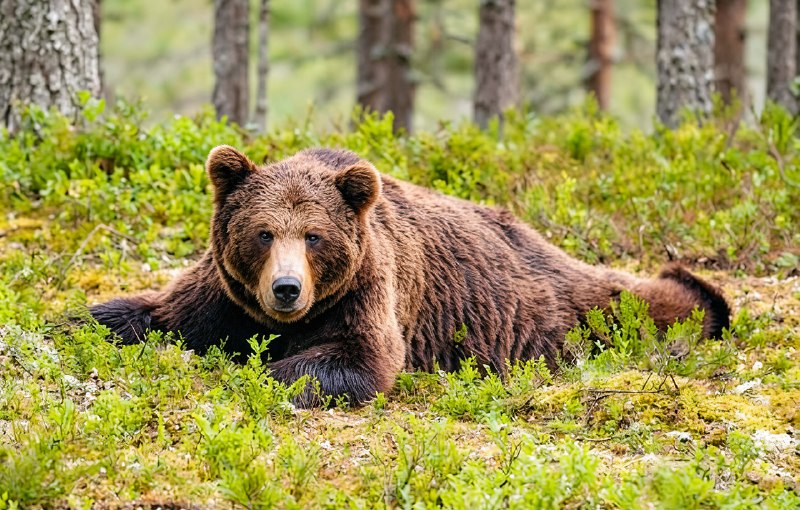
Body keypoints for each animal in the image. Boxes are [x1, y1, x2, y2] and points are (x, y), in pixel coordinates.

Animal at [91, 146, 731, 406]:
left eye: (314, 236)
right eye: (264, 232)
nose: (286, 289)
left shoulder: (368, 290)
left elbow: (357, 358)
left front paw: (255, 371)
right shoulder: (222, 294)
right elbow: (151, 312)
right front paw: (88, 321)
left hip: (548, 306)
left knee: (626, 301)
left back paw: (703, 297)